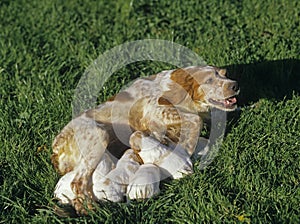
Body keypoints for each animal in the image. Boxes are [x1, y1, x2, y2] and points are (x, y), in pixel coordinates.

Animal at [51, 64, 239, 214]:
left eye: (224, 74)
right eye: (209, 80)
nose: (235, 85)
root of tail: (55, 148)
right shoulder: (154, 111)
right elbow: (195, 120)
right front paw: (185, 153)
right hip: (98, 135)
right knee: (77, 183)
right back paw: (89, 210)